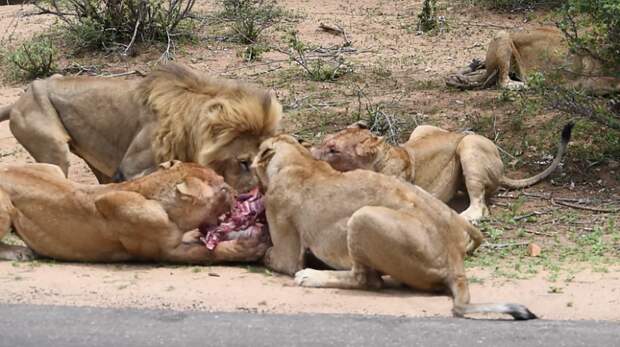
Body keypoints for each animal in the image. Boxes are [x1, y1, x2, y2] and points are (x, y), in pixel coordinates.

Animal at [0, 161, 268, 264]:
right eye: (222, 187)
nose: (236, 194)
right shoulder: (163, 252)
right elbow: (208, 253)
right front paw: (250, 247)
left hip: (51, 167)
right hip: (4, 208)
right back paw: (19, 252)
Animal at [252, 135, 536, 320]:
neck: (298, 161)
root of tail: (455, 264)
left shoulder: (286, 251)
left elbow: (271, 256)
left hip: (363, 217)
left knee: (367, 280)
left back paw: (311, 276)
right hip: (414, 190)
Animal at [312, 121, 572, 220]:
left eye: (333, 149)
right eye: (325, 140)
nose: (310, 152)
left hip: (469, 145)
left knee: (480, 206)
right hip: (422, 127)